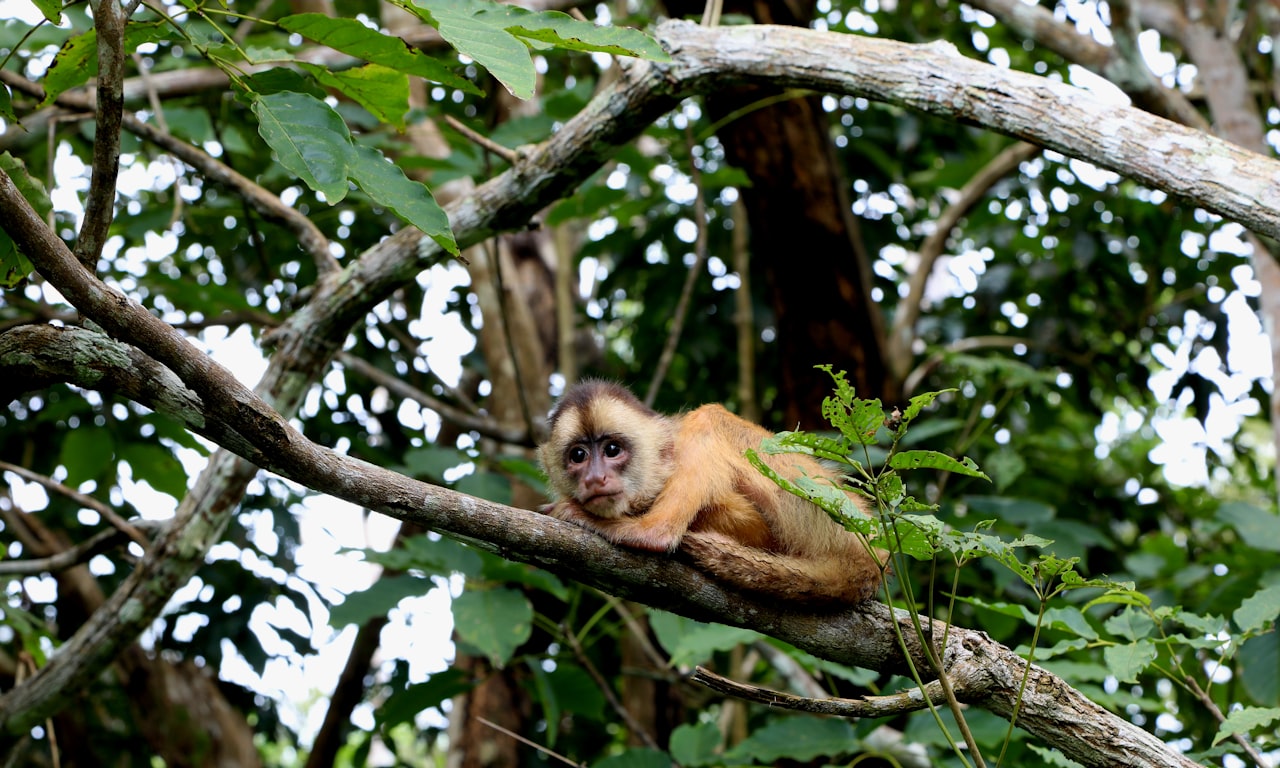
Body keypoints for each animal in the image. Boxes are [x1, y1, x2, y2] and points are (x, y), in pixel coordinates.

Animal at [535, 381, 885, 609]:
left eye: (611, 450)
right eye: (578, 456)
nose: (595, 478)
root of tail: (873, 559)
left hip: (826, 514)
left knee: (709, 418)